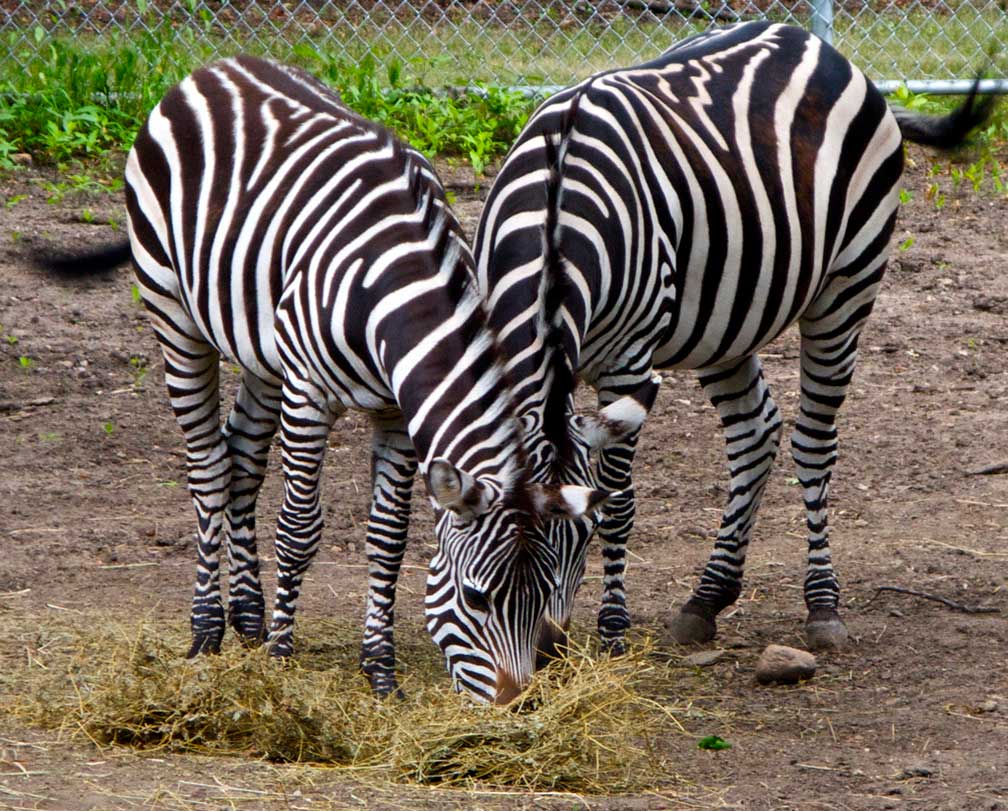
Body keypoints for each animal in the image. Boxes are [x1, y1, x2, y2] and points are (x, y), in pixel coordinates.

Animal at [37, 55, 645, 701]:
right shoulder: (309, 395)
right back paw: (207, 630)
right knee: (207, 467)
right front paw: (281, 658)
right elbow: (299, 529)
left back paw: (247, 617)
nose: (518, 703)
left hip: (261, 349)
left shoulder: (398, 412)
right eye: (476, 598)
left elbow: (388, 537)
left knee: (241, 458)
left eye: (541, 594)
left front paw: (378, 668)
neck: (399, 295)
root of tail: (216, 67)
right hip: (173, 311)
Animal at [471, 22, 991, 656]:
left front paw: (614, 629)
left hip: (848, 284)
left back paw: (822, 605)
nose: (548, 647)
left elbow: (622, 499)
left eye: (585, 531)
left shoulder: (628, 363)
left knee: (813, 442)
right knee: (754, 432)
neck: (555, 215)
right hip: (723, 318)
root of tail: (818, 45)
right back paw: (707, 597)